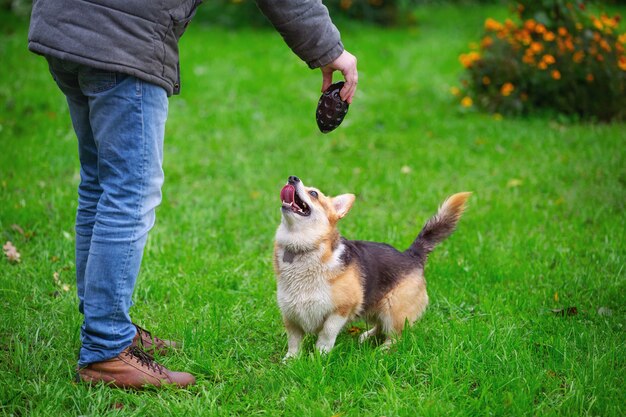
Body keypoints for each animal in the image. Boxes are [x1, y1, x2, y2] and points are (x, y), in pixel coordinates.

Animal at [272, 176, 468, 358]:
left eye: (314, 193)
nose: (292, 178)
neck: (302, 249)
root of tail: (412, 254)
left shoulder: (341, 310)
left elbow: (326, 333)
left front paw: (320, 355)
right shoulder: (290, 313)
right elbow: (294, 341)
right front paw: (291, 360)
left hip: (392, 310)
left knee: (395, 336)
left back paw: (382, 350)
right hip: (375, 306)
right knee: (380, 326)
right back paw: (367, 336)